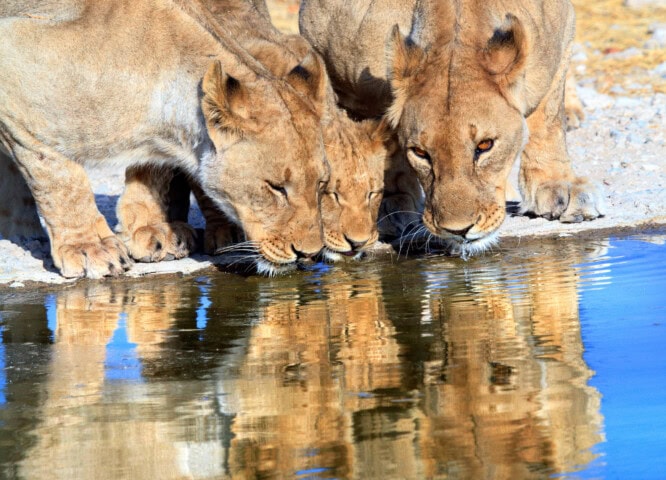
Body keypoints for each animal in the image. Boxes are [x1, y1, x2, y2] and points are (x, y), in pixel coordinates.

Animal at [0, 0, 329, 278]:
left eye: (321, 184)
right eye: (275, 188)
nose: (309, 254)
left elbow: (154, 171)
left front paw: (153, 230)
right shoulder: (14, 72)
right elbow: (60, 178)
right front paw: (90, 247)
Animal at [300, 0, 605, 257]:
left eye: (485, 145)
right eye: (420, 153)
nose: (458, 231)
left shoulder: (560, 35)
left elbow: (548, 117)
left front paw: (558, 188)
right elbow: (379, 146)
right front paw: (387, 202)